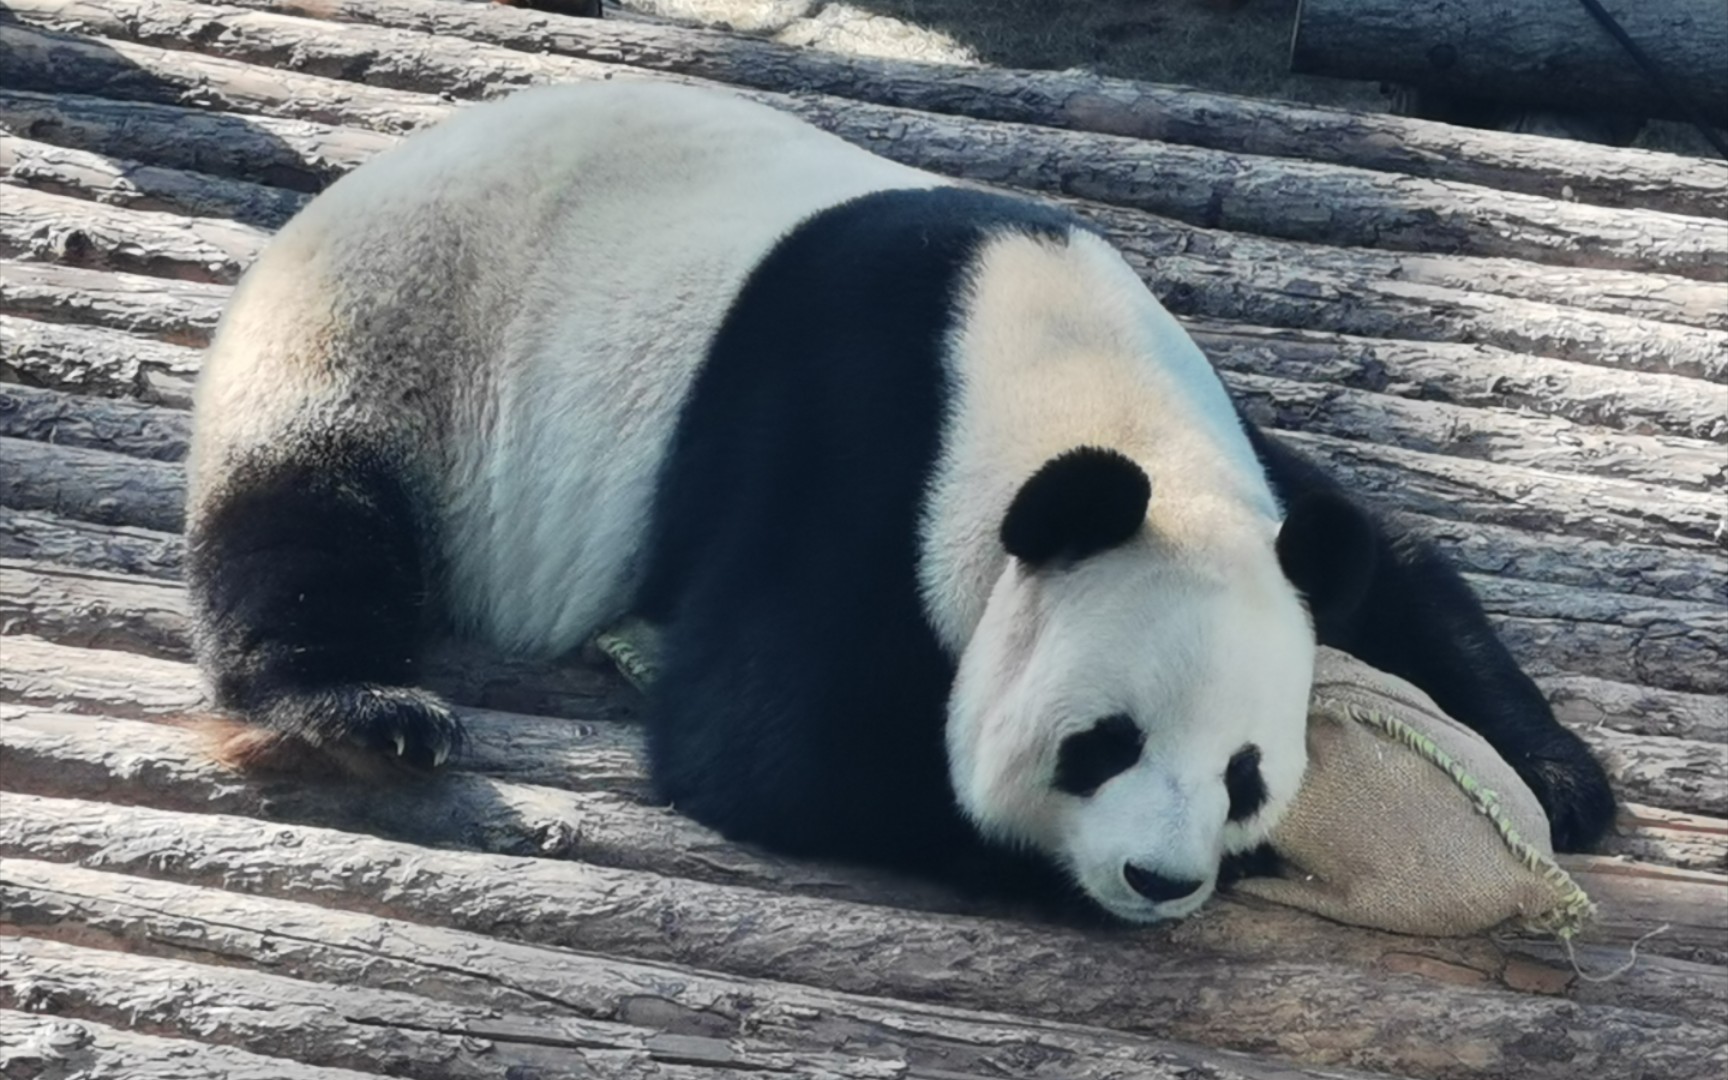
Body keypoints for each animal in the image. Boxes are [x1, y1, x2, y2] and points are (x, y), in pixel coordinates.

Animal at [192, 79, 1617, 919]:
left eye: (1246, 770)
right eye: (1104, 743)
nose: (1160, 879)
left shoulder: (1246, 479)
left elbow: (1386, 558)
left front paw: (1559, 778)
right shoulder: (846, 453)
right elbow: (776, 743)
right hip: (396, 334)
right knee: (310, 525)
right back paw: (359, 710)